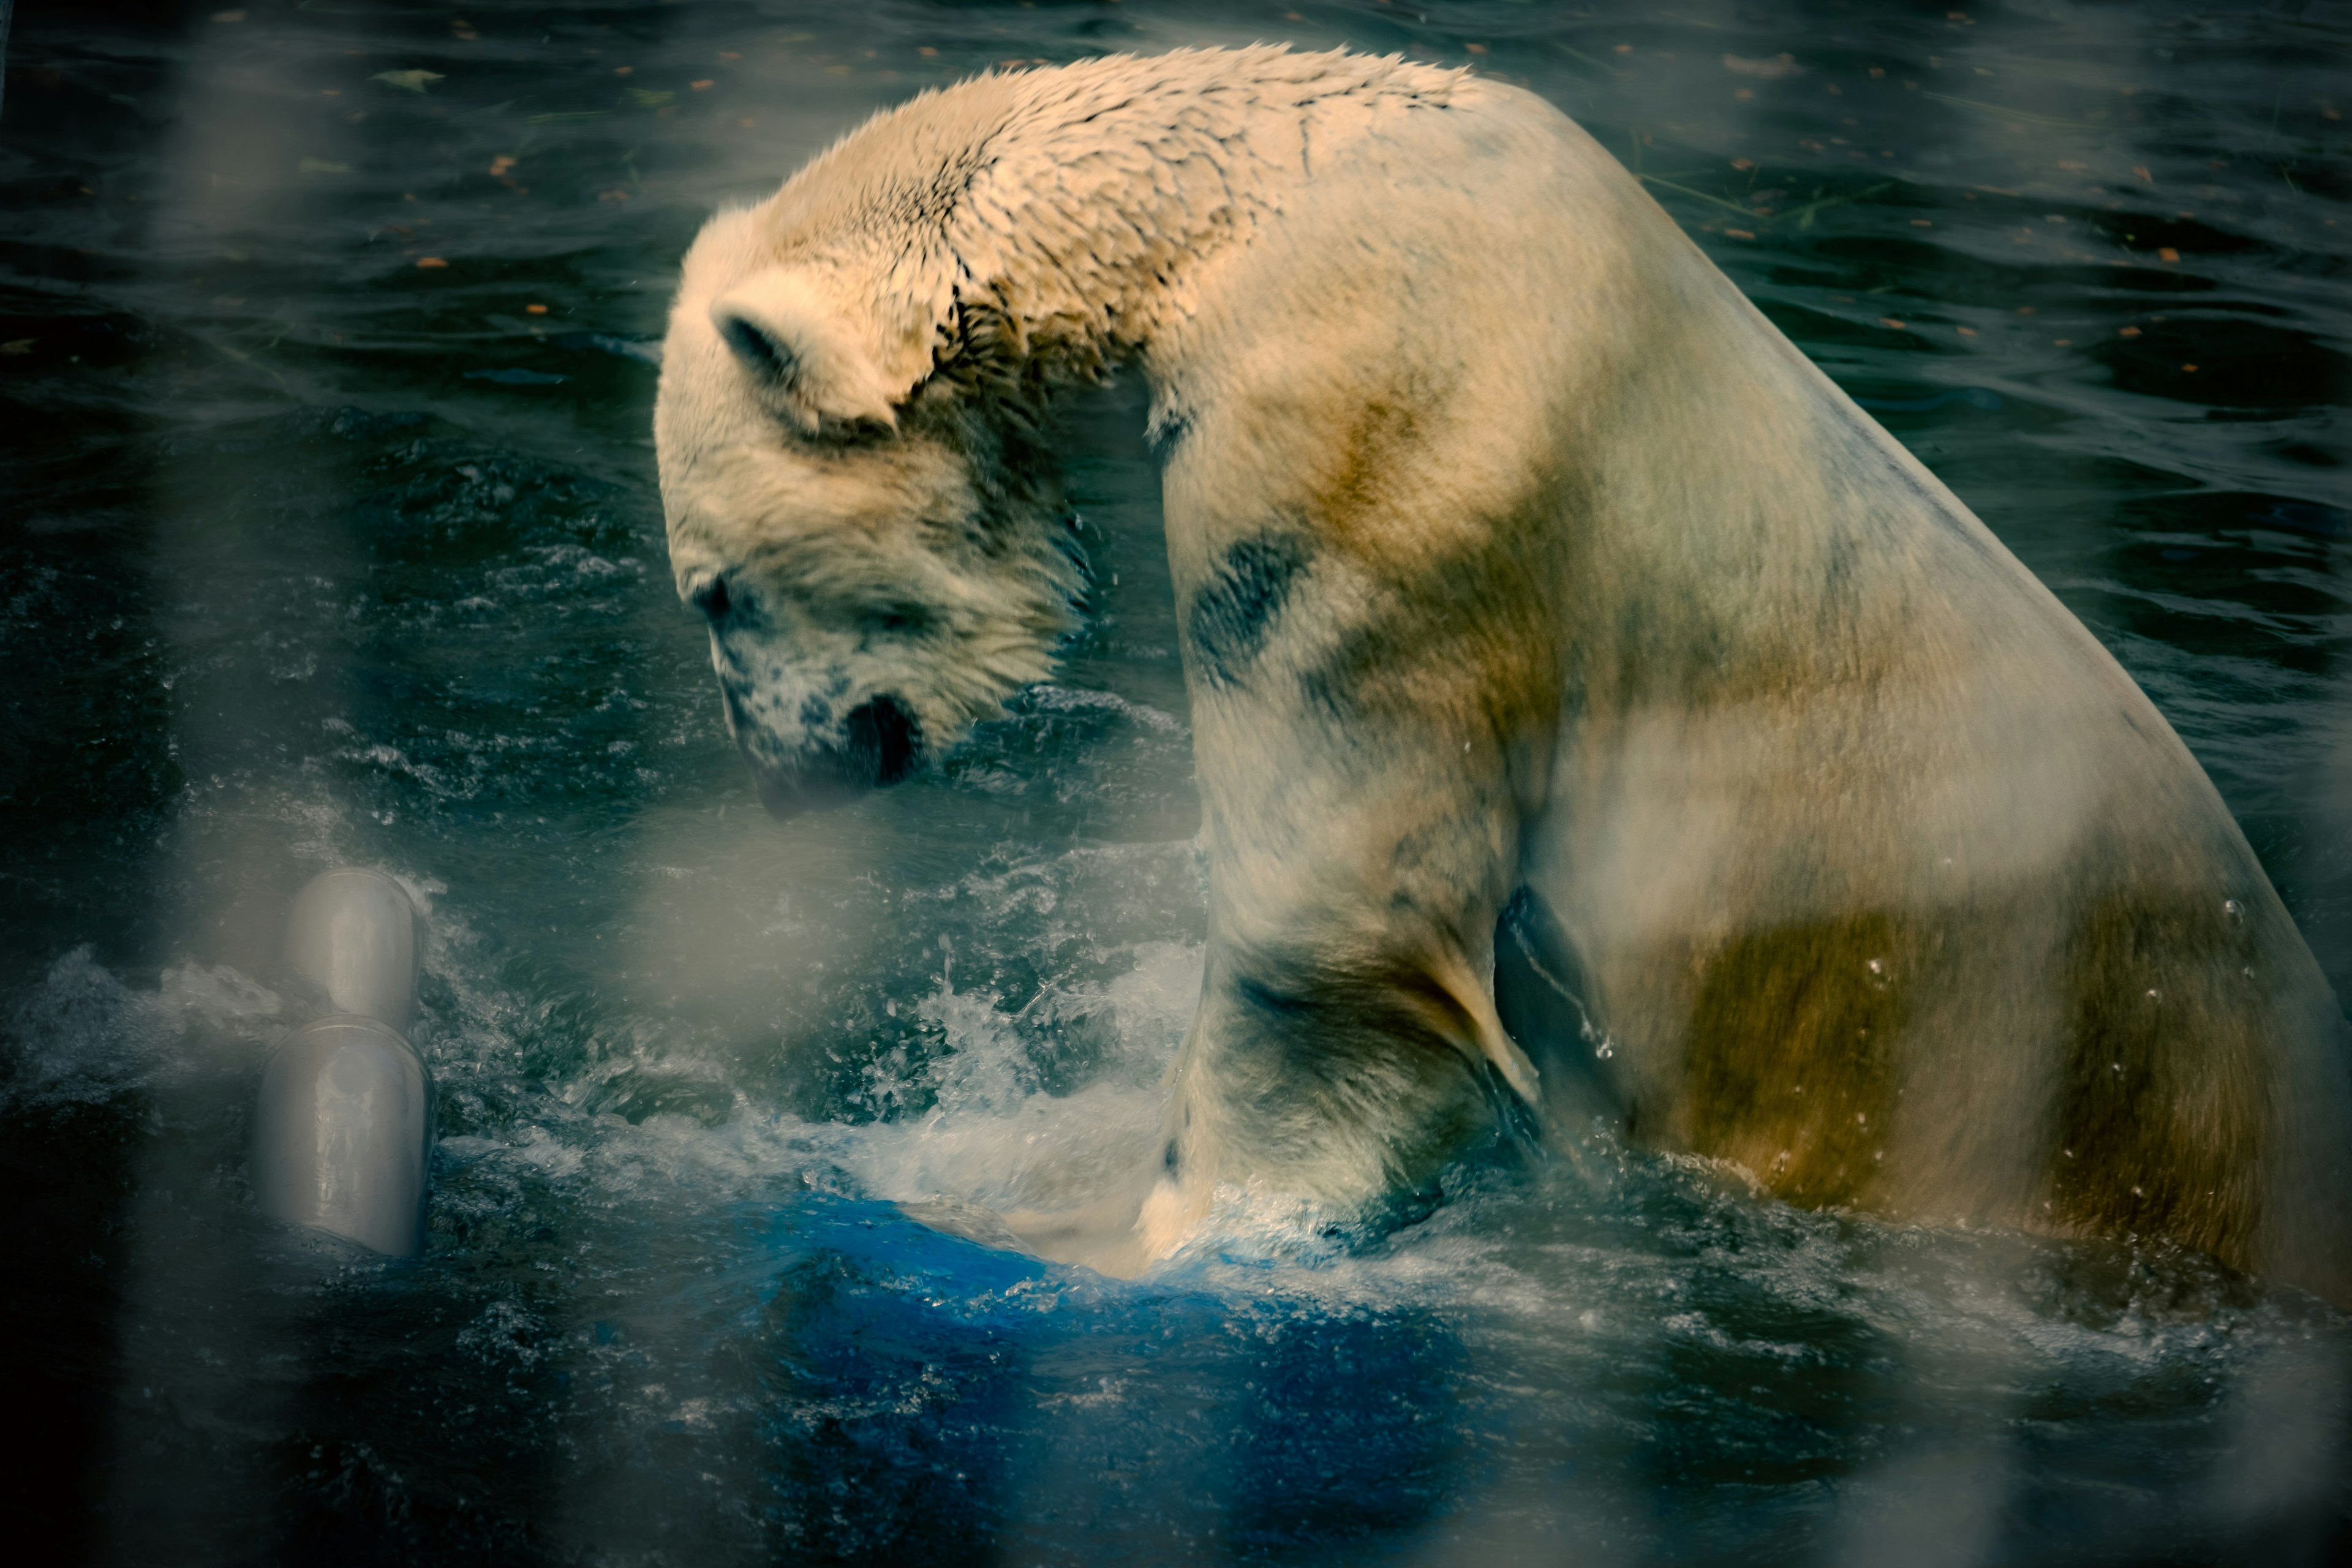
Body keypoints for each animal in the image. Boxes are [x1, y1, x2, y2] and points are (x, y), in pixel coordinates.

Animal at [654, 46, 2352, 1297]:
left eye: (713, 593)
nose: (790, 776)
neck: (1266, 210)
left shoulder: (1368, 466)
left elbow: (1333, 935)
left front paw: (1070, 1231)